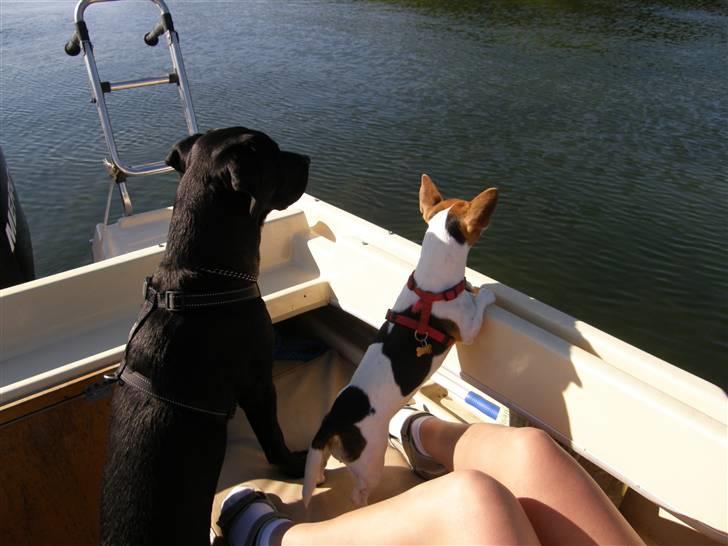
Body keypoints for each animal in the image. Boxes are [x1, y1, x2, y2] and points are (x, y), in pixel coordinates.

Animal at [99, 126, 308, 544]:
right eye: (275, 155)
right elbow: (273, 437)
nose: (308, 159)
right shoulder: (258, 383)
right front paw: (295, 463)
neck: (200, 276)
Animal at [298, 174, 498, 506]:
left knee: (319, 464)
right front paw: (487, 292)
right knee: (359, 492)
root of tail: (333, 422)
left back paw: (321, 476)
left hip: (327, 452)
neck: (430, 286)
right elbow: (478, 307)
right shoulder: (467, 328)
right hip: (372, 462)